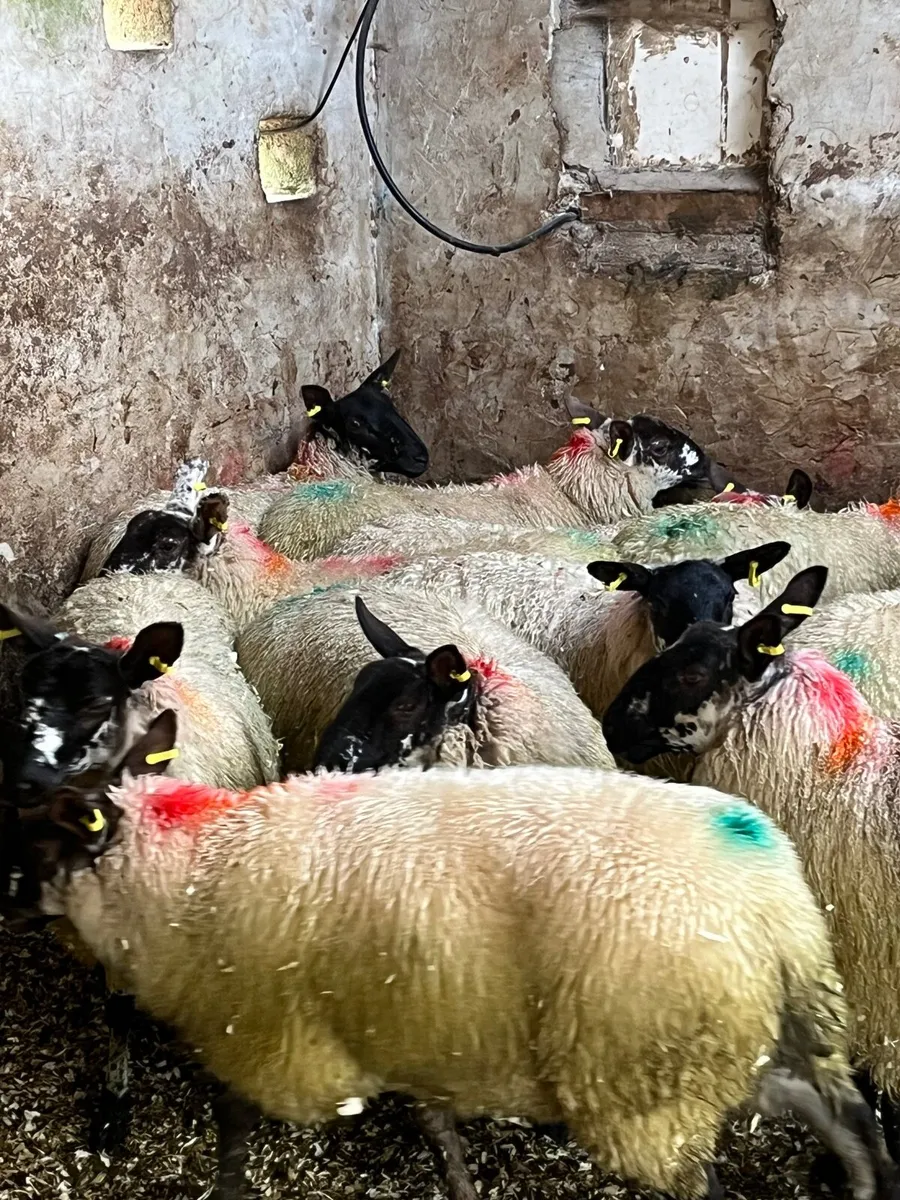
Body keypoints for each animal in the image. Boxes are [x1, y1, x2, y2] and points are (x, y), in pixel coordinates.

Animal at [4, 711, 896, 1200]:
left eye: (42, 833)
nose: (2, 894)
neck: (191, 867)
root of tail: (778, 910)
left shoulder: (270, 1039)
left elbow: (230, 1123)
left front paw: (224, 1188)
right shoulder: (411, 1026)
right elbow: (436, 1128)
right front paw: (462, 1182)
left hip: (645, 1081)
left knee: (713, 1178)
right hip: (731, 1051)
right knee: (831, 1109)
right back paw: (859, 1176)